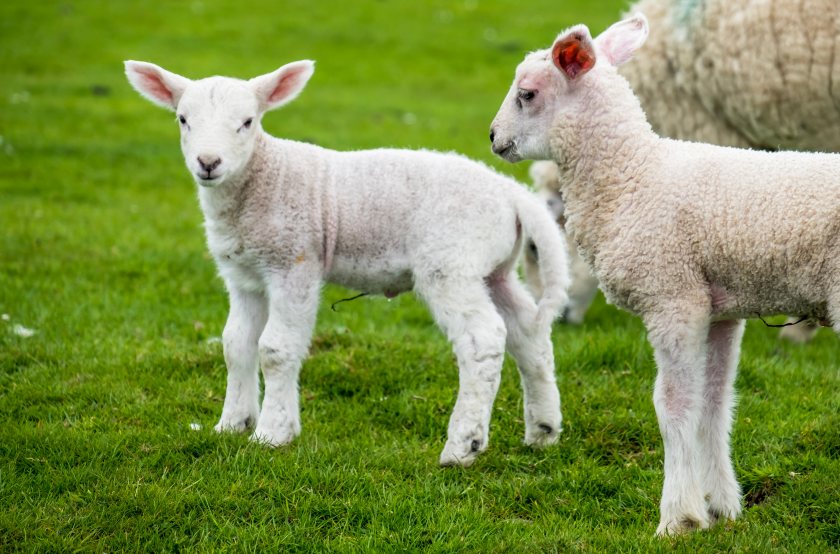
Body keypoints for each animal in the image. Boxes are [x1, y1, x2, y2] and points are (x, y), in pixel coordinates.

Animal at [124, 59, 569, 467]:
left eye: (248, 122)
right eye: (183, 119)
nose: (208, 163)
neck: (263, 179)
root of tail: (512, 194)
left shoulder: (294, 262)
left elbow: (275, 348)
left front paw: (272, 433)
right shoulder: (244, 276)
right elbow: (236, 344)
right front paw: (232, 424)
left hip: (451, 263)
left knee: (483, 340)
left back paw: (464, 445)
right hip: (493, 269)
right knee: (528, 333)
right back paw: (543, 430)